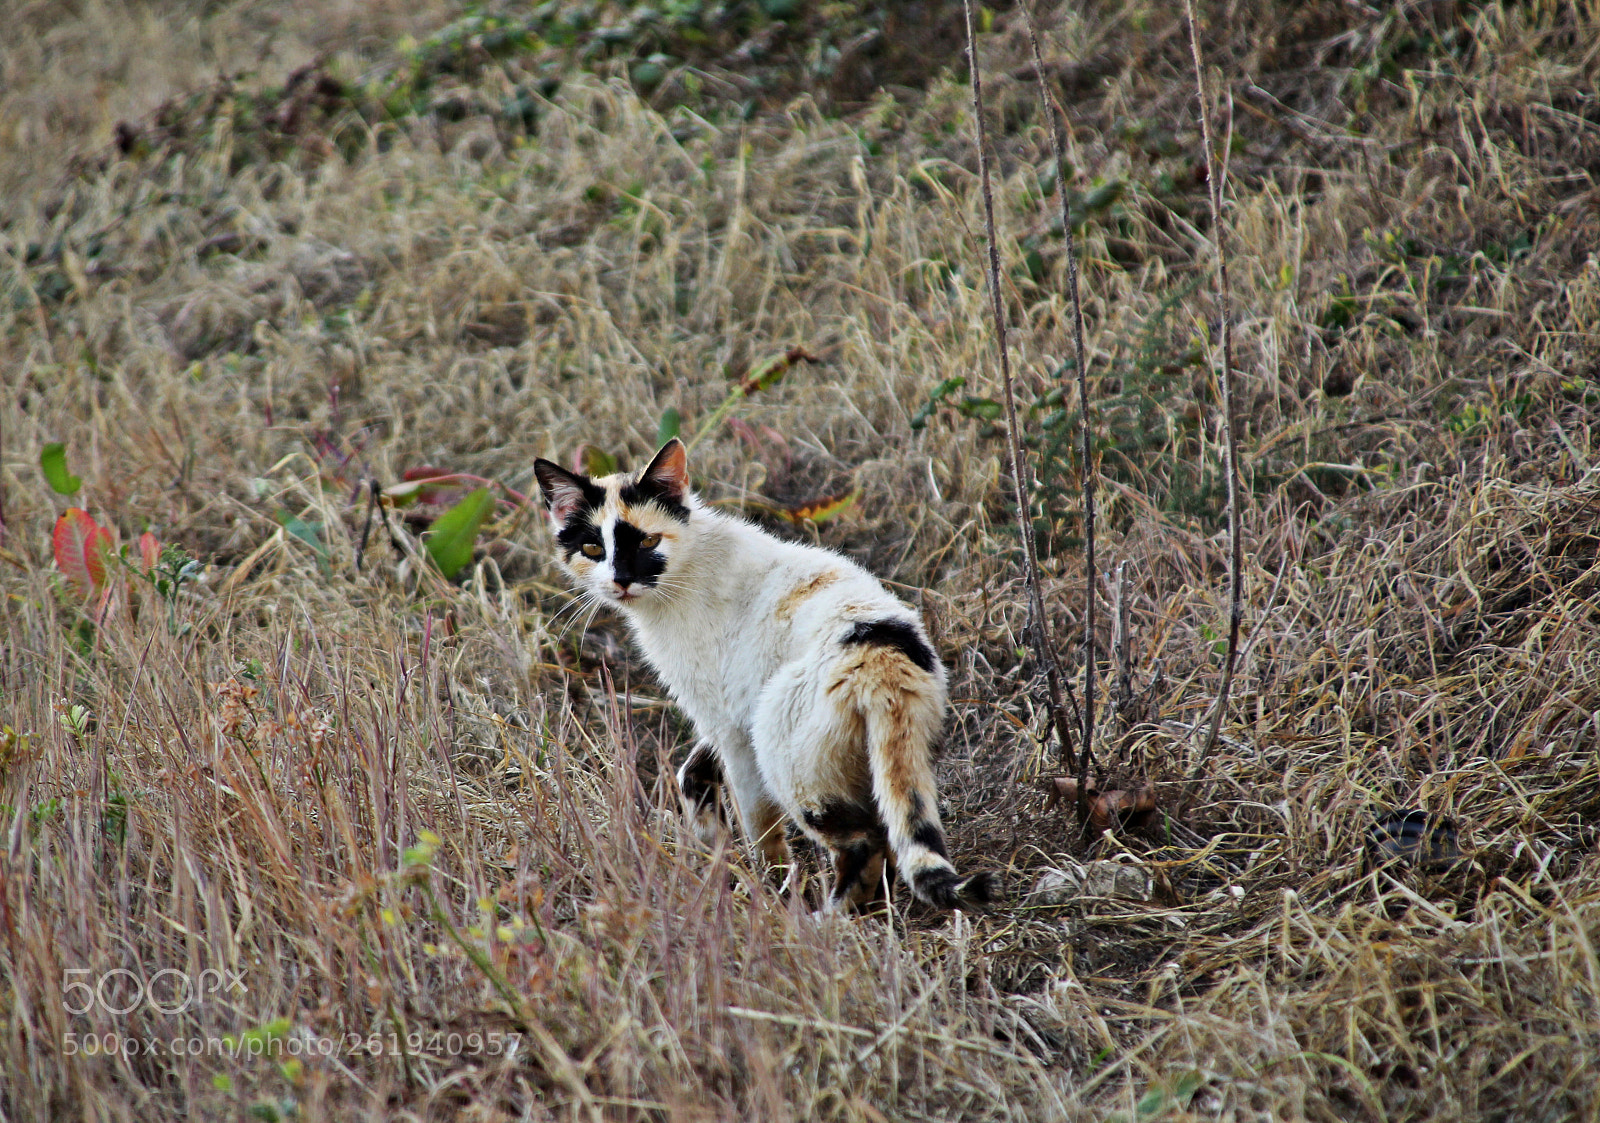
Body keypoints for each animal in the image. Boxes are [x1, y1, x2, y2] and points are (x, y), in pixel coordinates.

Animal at [531, 441, 992, 915]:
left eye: (648, 540)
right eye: (591, 548)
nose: (621, 580)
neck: (689, 564)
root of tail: (878, 654)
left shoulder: (730, 728)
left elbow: (759, 826)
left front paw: (767, 891)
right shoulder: (732, 718)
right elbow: (692, 771)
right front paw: (710, 841)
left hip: (785, 755)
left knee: (863, 845)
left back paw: (823, 923)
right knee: (886, 834)